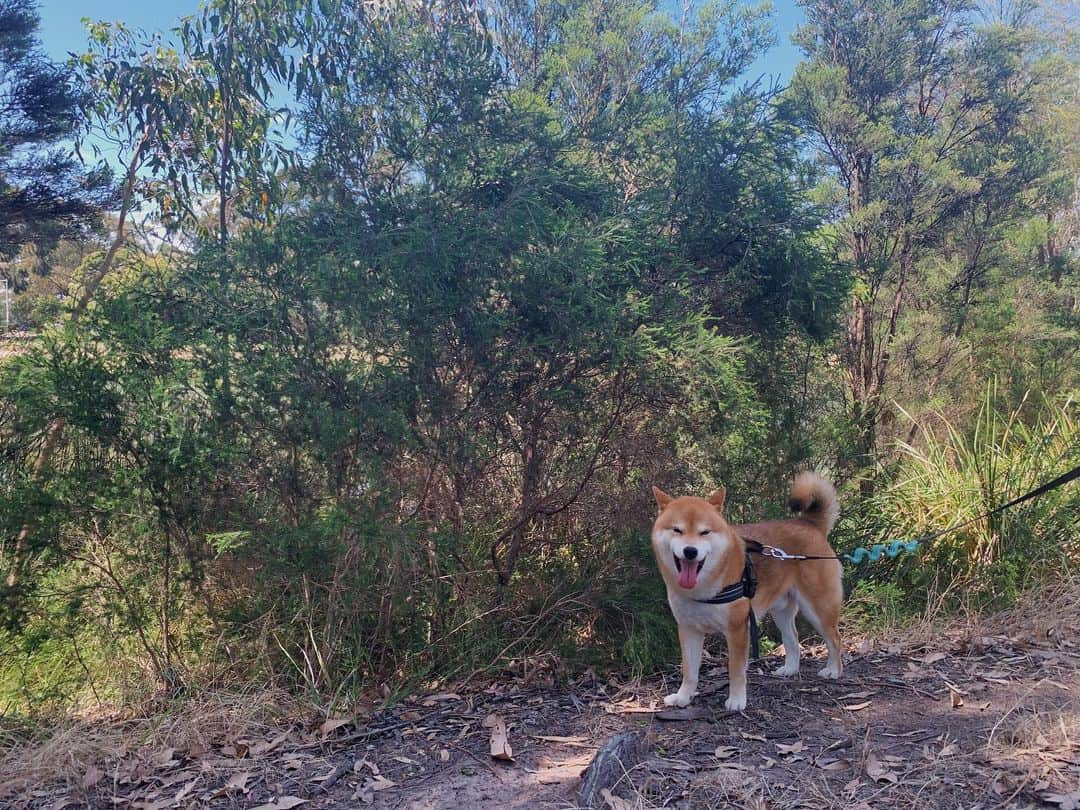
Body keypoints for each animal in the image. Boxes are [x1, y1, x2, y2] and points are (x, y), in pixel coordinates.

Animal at [648, 473, 842, 712]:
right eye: (677, 530)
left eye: (704, 532)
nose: (690, 551)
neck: (705, 590)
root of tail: (808, 523)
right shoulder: (688, 629)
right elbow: (689, 671)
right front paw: (683, 697)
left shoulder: (737, 629)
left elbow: (735, 670)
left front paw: (737, 700)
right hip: (781, 611)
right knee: (793, 639)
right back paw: (790, 669)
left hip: (819, 610)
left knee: (835, 639)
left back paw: (834, 670)